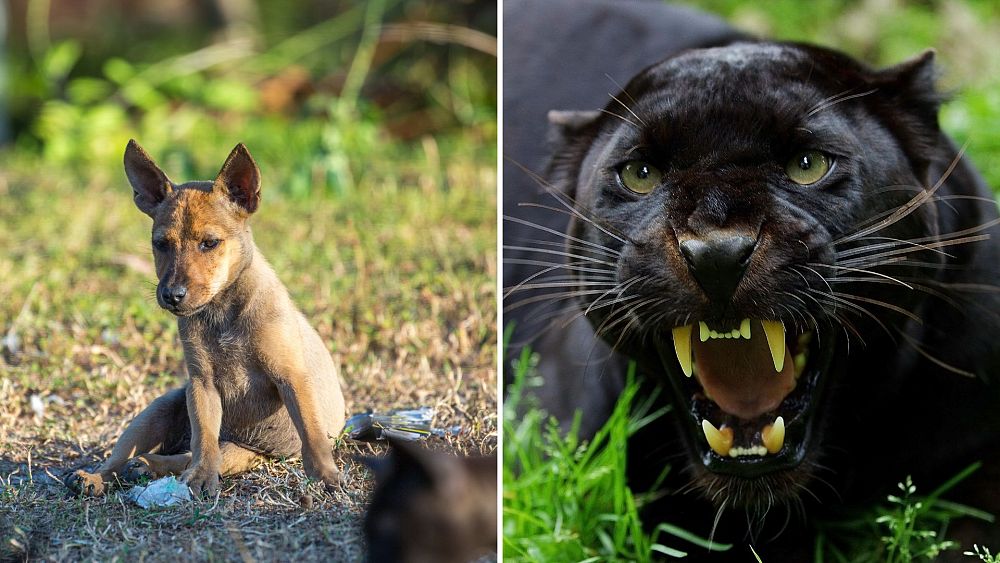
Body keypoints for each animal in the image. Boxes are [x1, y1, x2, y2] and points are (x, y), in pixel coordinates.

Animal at [66, 141, 346, 498]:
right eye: (161, 244)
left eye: (210, 243)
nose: (172, 295)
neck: (223, 310)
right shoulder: (201, 384)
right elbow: (204, 439)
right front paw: (200, 478)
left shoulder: (290, 377)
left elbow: (311, 433)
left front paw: (325, 475)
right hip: (158, 409)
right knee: (135, 456)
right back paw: (101, 476)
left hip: (240, 451)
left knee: (194, 454)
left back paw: (148, 466)